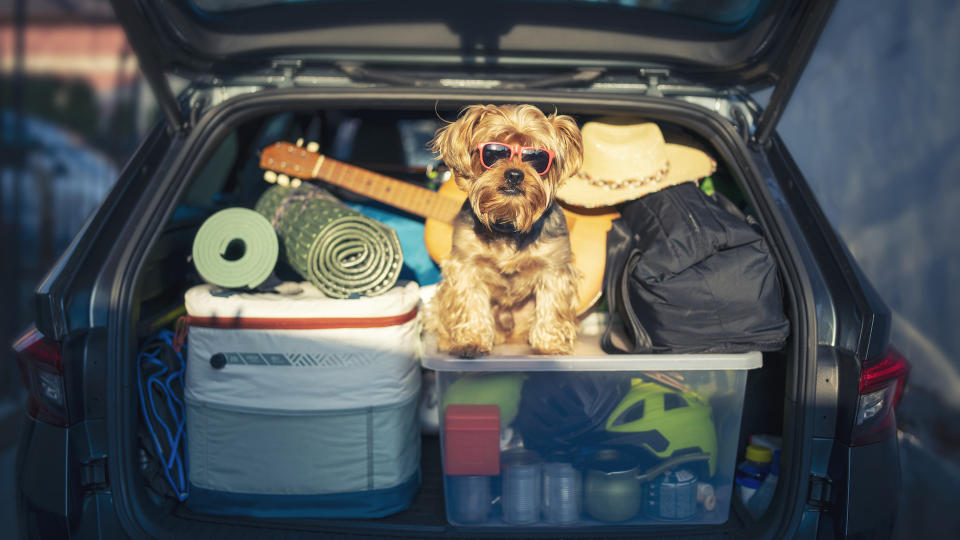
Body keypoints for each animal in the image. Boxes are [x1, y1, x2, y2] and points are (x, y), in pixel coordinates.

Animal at [430, 104, 584, 358]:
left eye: (537, 157)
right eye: (494, 153)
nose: (514, 174)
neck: (508, 222)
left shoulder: (554, 268)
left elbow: (552, 306)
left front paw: (549, 345)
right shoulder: (466, 266)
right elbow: (470, 303)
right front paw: (471, 342)